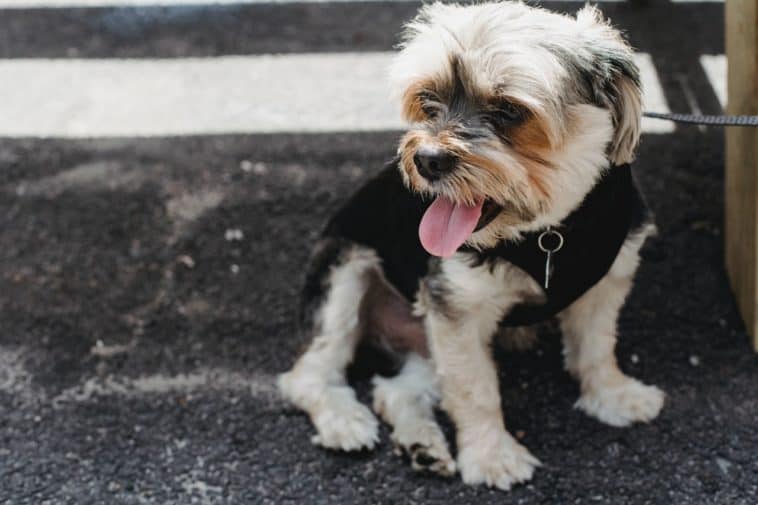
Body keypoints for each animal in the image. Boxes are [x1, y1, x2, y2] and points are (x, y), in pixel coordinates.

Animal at [280, 0, 664, 488]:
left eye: (509, 110)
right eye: (427, 100)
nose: (426, 159)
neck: (548, 233)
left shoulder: (605, 283)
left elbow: (597, 346)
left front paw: (613, 395)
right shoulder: (457, 308)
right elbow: (475, 390)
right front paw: (492, 456)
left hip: (424, 340)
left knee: (394, 391)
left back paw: (423, 447)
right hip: (342, 274)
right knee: (309, 375)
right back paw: (344, 422)